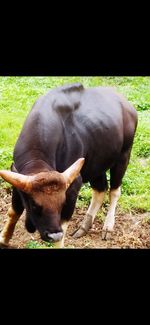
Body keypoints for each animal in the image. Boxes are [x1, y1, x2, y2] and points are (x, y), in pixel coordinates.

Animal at [0, 82, 137, 247]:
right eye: (34, 205)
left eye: (62, 203)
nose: (54, 235)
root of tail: (128, 107)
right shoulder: (17, 180)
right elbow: (13, 212)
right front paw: (4, 238)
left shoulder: (73, 186)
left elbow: (63, 226)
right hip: (96, 164)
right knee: (100, 189)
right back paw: (84, 227)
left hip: (123, 156)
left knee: (114, 191)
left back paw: (107, 227)